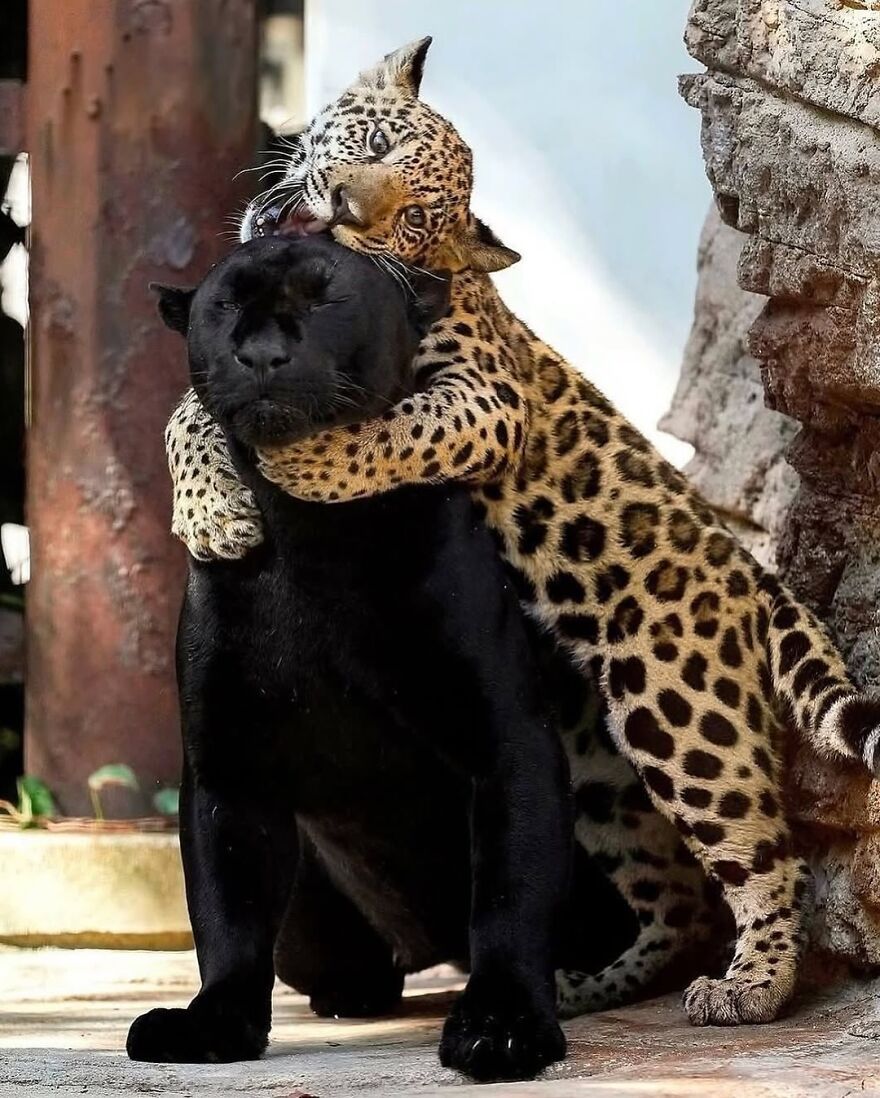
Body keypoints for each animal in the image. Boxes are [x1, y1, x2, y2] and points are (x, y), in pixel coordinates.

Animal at [164, 38, 880, 1027]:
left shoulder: (484, 401)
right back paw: (590, 986)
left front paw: (301, 463)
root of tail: (754, 577)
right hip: (598, 767)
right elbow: (189, 412)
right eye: (375, 142)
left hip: (677, 706)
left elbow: (390, 430)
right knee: (674, 896)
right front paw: (211, 509)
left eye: (413, 216)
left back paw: (751, 987)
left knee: (763, 858)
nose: (344, 204)